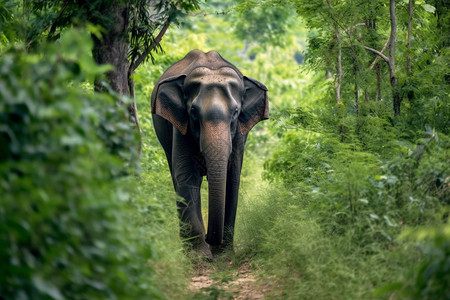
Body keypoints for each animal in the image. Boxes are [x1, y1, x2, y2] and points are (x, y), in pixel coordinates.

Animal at [151, 50, 268, 258]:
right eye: (193, 111)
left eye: (235, 112)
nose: (209, 237)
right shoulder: (180, 128)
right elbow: (187, 179)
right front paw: (200, 256)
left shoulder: (239, 135)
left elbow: (232, 180)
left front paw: (224, 253)